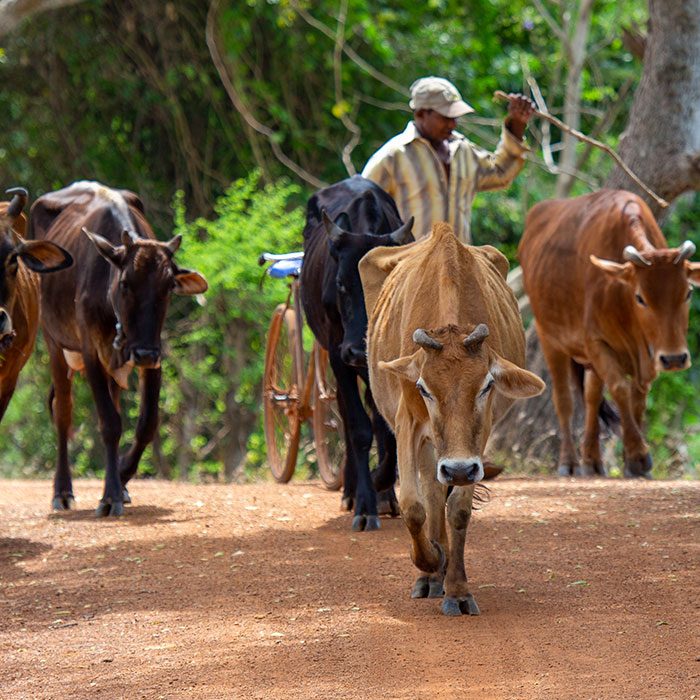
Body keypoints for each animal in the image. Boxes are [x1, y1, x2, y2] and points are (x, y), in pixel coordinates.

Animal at [30, 183, 208, 516]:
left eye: (168, 287)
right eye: (125, 283)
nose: (143, 354)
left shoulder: (154, 356)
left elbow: (147, 423)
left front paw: (121, 479)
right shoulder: (91, 352)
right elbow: (110, 423)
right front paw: (110, 495)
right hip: (54, 343)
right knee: (63, 414)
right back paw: (62, 491)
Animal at [300, 176, 410, 532]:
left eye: (384, 285)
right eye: (340, 283)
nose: (359, 349)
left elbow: (387, 426)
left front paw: (381, 485)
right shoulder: (338, 354)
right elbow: (359, 428)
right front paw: (364, 503)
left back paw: (386, 495)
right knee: (349, 418)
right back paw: (351, 492)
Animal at [358, 221, 544, 616]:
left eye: (487, 385)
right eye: (424, 388)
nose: (458, 468)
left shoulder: (477, 439)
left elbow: (457, 509)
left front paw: (457, 589)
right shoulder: (408, 423)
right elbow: (413, 507)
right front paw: (431, 563)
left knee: (438, 492)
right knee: (429, 491)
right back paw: (432, 573)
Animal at [520, 189, 700, 478]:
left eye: (688, 292)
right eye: (640, 297)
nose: (674, 359)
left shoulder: (648, 355)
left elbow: (638, 398)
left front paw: (630, 459)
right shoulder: (596, 342)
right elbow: (621, 389)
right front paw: (638, 456)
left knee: (592, 397)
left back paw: (592, 460)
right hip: (549, 337)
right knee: (564, 400)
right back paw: (569, 462)